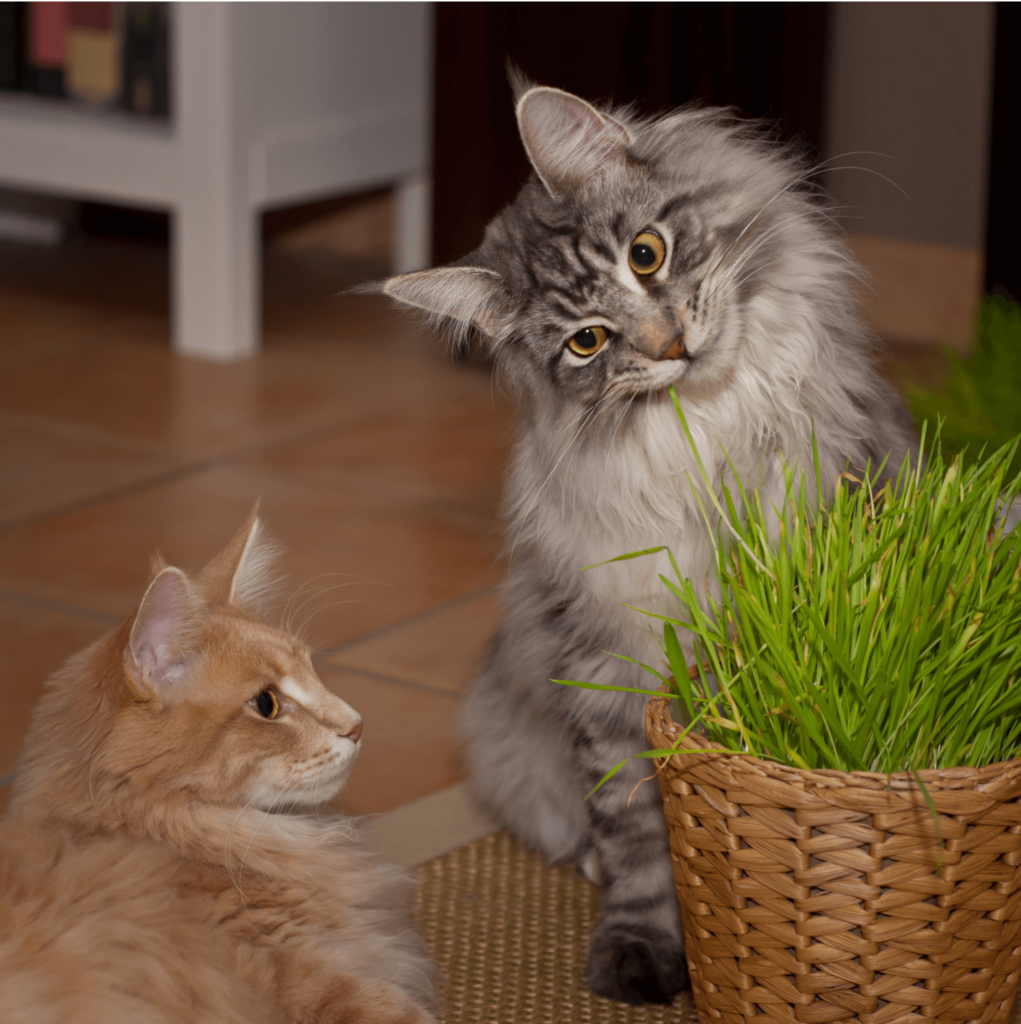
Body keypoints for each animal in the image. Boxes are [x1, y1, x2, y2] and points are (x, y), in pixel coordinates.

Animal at [380, 81, 917, 1007]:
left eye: (645, 254)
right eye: (586, 341)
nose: (671, 345)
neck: (701, 429)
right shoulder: (605, 657)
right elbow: (637, 831)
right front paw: (643, 952)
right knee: (575, 829)